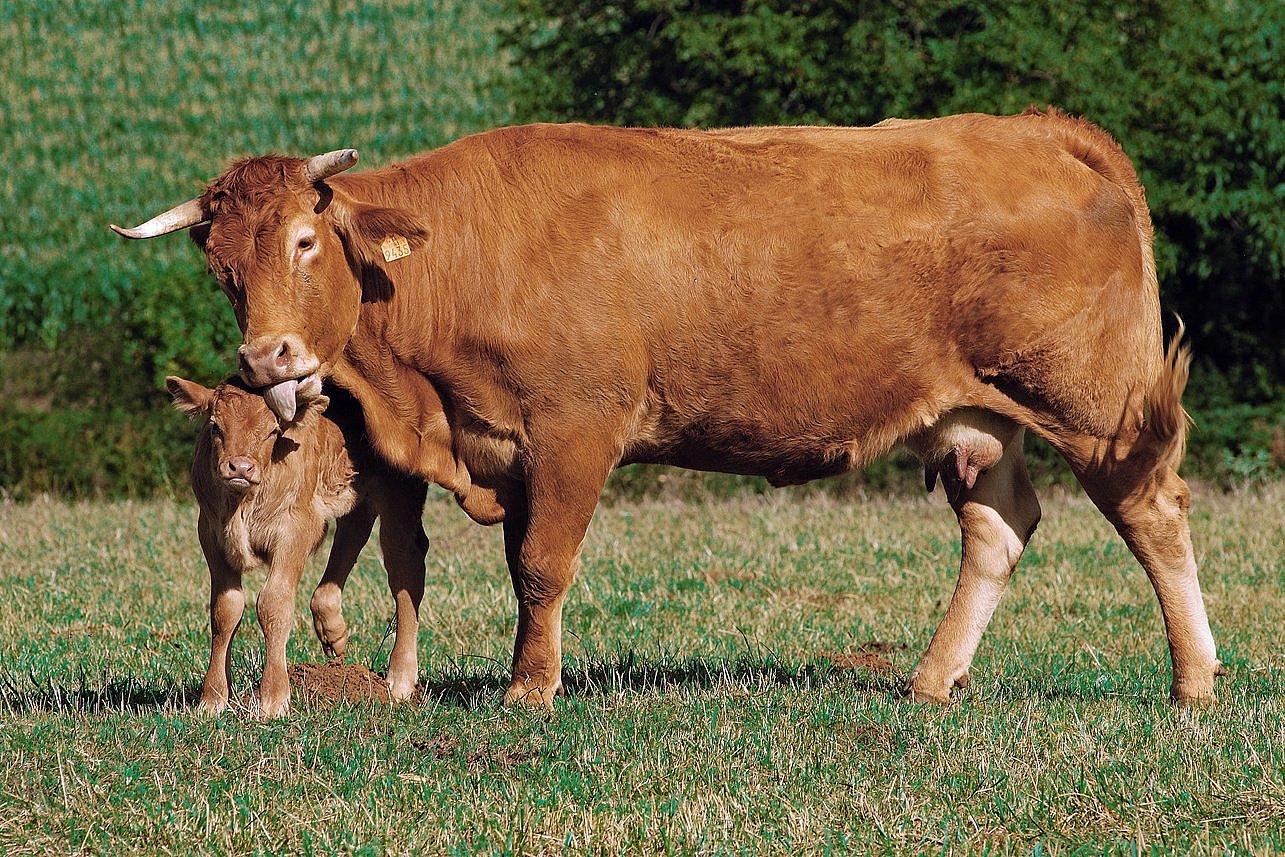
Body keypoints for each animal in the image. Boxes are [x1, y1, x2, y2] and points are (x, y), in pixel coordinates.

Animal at [168, 375, 431, 719]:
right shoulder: (210, 534)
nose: (240, 468)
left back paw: (399, 681)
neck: (242, 505)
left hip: (400, 497)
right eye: (214, 427)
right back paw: (333, 631)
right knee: (353, 532)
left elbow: (273, 603)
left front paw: (273, 698)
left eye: (273, 431)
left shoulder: (295, 531)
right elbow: (225, 610)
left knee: (404, 566)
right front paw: (212, 699)